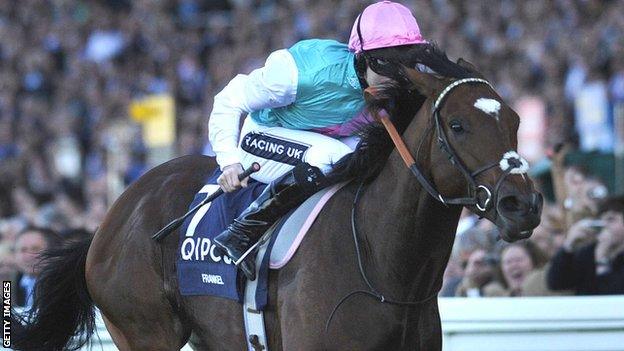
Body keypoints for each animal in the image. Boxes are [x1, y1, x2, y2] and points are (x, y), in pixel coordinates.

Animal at [13, 51, 540, 350]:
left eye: (515, 120)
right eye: (458, 125)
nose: (523, 204)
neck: (383, 264)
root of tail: (108, 220)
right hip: (144, 330)